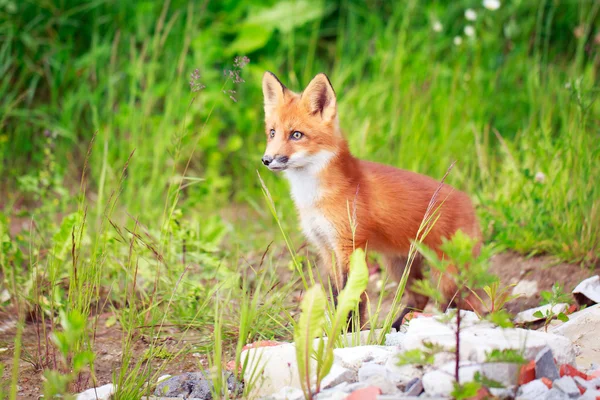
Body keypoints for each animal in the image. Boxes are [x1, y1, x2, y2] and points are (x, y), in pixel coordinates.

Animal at [258, 72, 482, 332]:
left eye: (296, 134)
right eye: (272, 133)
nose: (266, 159)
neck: (315, 198)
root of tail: (469, 202)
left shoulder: (350, 245)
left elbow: (353, 298)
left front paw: (349, 333)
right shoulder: (326, 247)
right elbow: (337, 295)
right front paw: (340, 332)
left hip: (445, 274)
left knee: (460, 303)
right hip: (399, 266)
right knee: (421, 297)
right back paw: (395, 326)